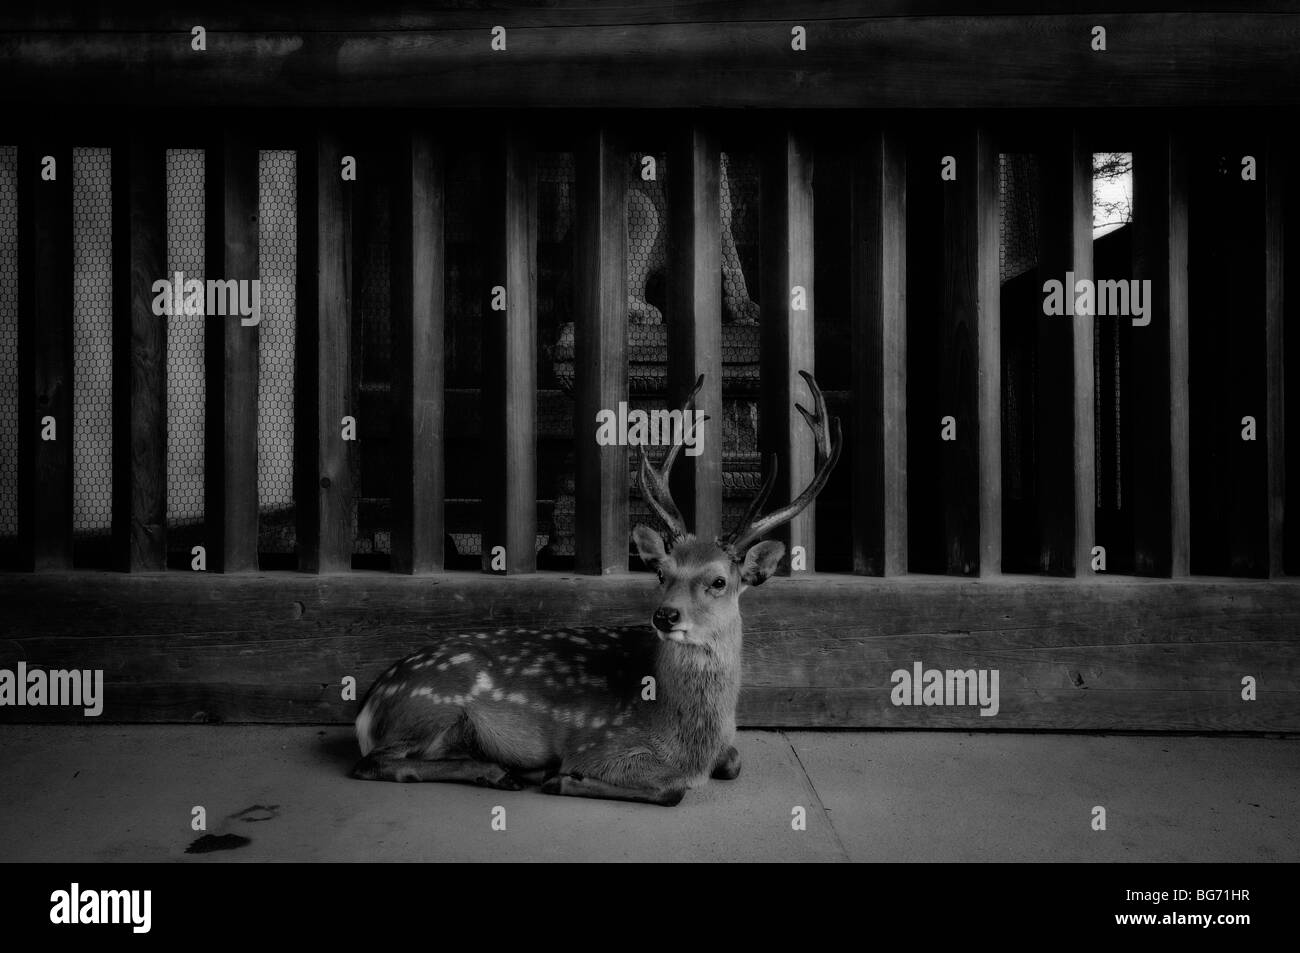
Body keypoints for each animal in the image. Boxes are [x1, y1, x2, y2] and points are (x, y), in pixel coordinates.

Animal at [353, 371, 842, 800]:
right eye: (662, 572)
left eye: (719, 580)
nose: (665, 615)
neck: (689, 741)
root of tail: (368, 706)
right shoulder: (600, 743)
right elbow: (671, 789)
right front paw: (562, 778)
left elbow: (734, 761)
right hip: (433, 707)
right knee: (373, 763)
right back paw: (504, 771)